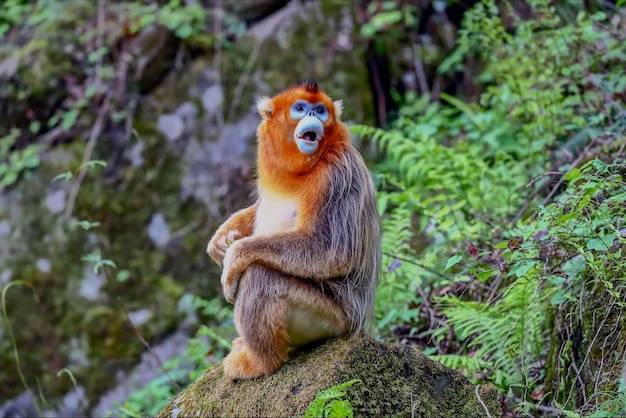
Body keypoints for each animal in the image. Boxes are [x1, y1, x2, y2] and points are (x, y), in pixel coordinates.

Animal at [206, 80, 380, 380]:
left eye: (320, 111)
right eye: (300, 108)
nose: (312, 116)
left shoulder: (336, 174)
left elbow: (332, 251)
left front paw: (235, 256)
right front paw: (224, 236)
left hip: (331, 319)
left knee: (260, 276)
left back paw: (261, 362)